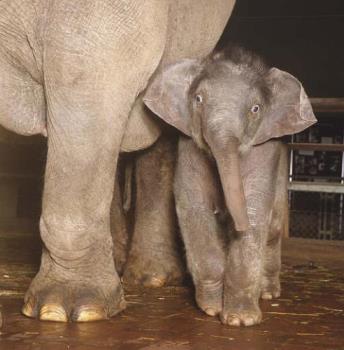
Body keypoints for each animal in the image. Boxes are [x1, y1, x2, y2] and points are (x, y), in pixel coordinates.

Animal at [143, 47, 318, 326]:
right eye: (198, 99)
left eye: (255, 109)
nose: (236, 221)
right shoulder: (189, 148)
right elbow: (194, 209)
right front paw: (212, 309)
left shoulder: (264, 151)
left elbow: (256, 212)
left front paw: (240, 320)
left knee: (273, 230)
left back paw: (268, 293)